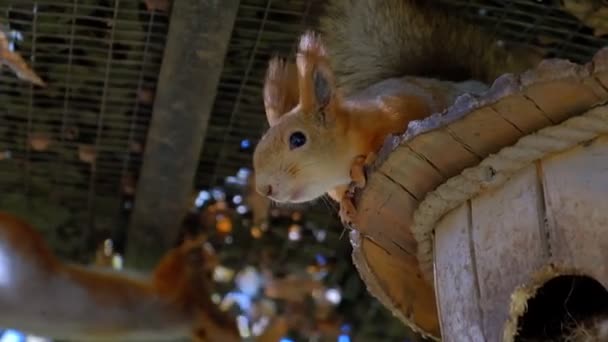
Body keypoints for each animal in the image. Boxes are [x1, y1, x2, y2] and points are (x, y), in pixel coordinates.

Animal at [0, 212, 240, 340]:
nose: (209, 276)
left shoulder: (174, 306)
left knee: (14, 226)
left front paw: (193, 249)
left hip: (29, 259)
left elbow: (165, 279)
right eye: (208, 278)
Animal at [252, 0, 540, 227]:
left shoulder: (398, 104)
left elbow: (402, 122)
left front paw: (365, 160)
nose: (265, 188)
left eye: (297, 139)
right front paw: (346, 205)